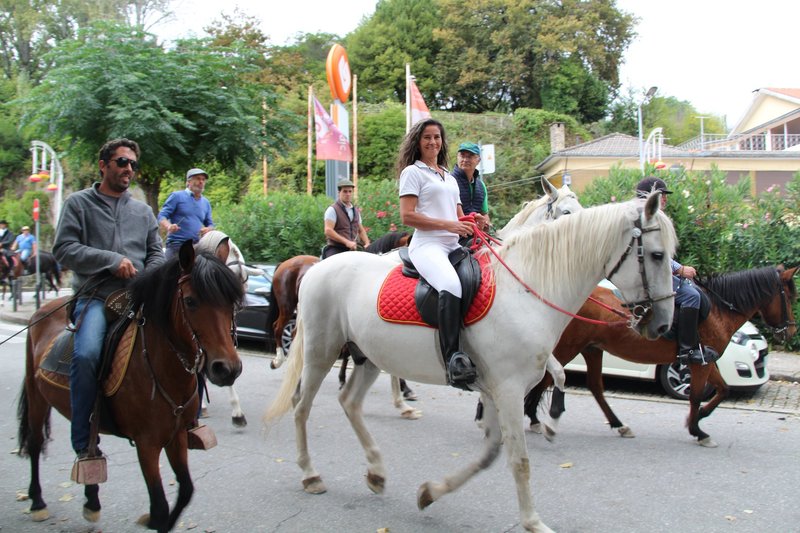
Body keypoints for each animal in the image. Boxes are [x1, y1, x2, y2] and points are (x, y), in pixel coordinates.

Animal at [17, 242, 242, 532]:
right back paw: (37, 502)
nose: (227, 369)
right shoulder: (147, 444)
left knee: (90, 445)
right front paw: (153, 519)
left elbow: (185, 491)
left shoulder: (176, 436)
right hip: (37, 398)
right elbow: (160, 507)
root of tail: (41, 312)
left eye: (232, 302)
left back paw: (92, 502)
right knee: (35, 443)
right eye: (191, 302)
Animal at [264, 193, 676, 528]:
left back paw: (377, 471)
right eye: (658, 255)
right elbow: (519, 460)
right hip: (321, 352)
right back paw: (311, 474)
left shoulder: (496, 390)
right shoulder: (508, 390)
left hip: (370, 358)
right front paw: (532, 521)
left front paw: (430, 493)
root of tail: (313, 269)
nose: (663, 324)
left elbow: (492, 453)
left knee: (349, 402)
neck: (528, 287)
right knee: (301, 407)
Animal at [528, 264, 796, 444]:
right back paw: (534, 416)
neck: (717, 311)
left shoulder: (707, 360)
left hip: (591, 349)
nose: (791, 330)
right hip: (569, 347)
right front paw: (698, 430)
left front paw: (698, 418)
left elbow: (723, 390)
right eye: (789, 297)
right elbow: (696, 395)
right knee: (549, 378)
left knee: (593, 386)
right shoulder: (699, 363)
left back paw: (617, 424)